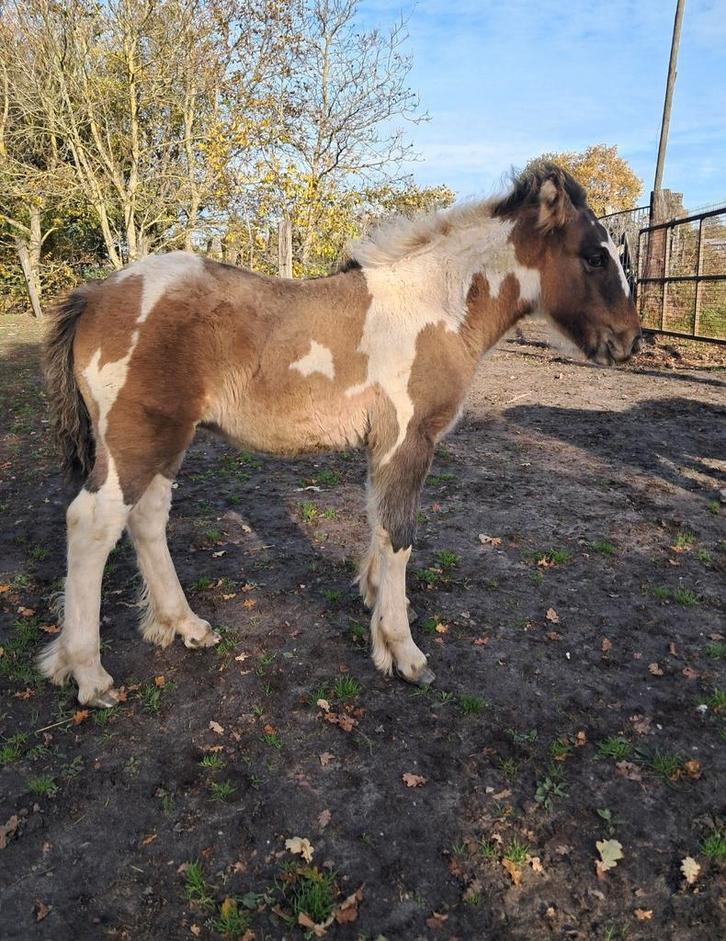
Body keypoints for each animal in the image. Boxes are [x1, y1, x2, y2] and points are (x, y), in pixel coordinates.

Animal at [39, 164, 642, 707]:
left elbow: (377, 523)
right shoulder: (409, 438)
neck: (433, 308)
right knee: (92, 524)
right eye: (594, 256)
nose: (630, 341)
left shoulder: (384, 444)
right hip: (136, 438)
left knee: (146, 519)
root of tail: (95, 294)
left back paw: (185, 625)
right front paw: (403, 652)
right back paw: (89, 675)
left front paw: (377, 604)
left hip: (167, 439)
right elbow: (399, 534)